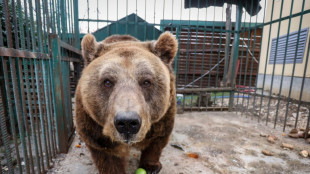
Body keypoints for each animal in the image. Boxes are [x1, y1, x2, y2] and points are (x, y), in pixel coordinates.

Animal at [74, 31, 178, 174]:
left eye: (146, 81)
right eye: (107, 81)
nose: (127, 123)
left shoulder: (163, 115)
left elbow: (157, 139)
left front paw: (151, 166)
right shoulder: (93, 125)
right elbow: (106, 154)